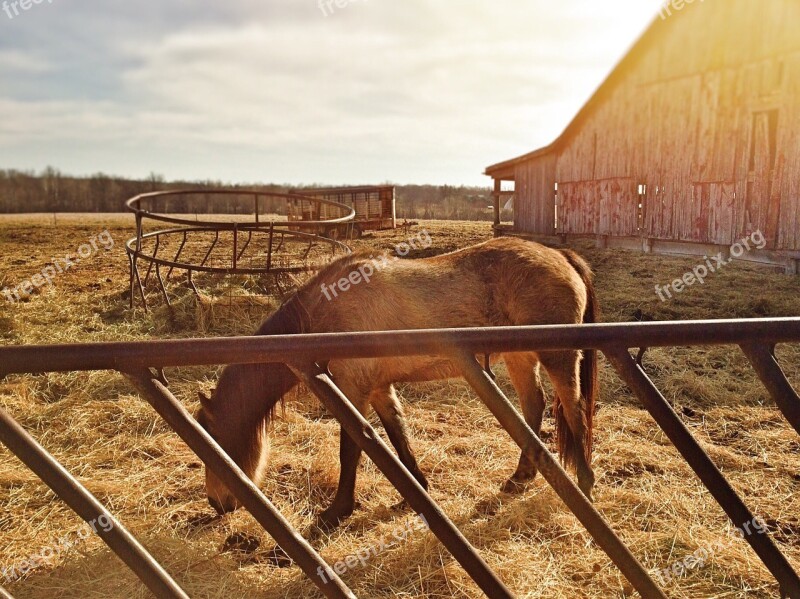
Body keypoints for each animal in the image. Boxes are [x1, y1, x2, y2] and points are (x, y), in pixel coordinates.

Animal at [197, 237, 596, 528]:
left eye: (214, 445)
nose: (217, 503)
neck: (325, 311)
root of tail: (560, 255)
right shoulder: (377, 388)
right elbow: (397, 435)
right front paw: (415, 490)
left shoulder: (353, 389)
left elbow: (352, 449)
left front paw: (337, 511)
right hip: (521, 358)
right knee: (533, 407)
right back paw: (520, 476)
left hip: (558, 358)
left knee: (574, 411)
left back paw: (585, 484)